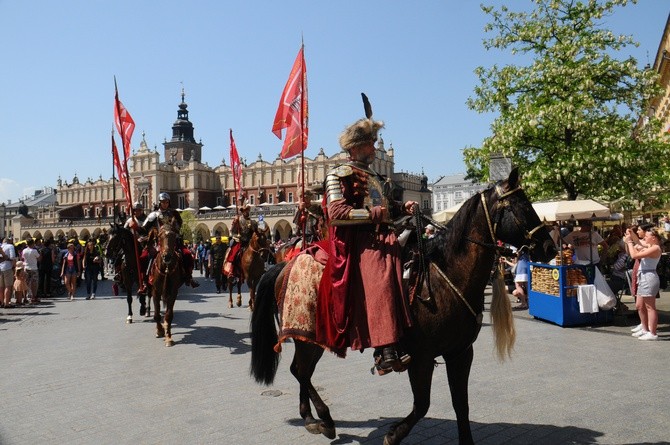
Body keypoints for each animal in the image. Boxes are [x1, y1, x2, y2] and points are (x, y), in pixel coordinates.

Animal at [252, 167, 556, 444]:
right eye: (521, 205)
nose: (549, 248)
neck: (446, 275)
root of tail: (283, 264)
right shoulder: (421, 357)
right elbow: (422, 405)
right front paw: (393, 434)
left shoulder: (460, 352)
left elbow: (461, 404)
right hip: (306, 336)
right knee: (300, 371)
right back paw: (324, 419)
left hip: (313, 339)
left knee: (301, 371)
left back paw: (312, 418)